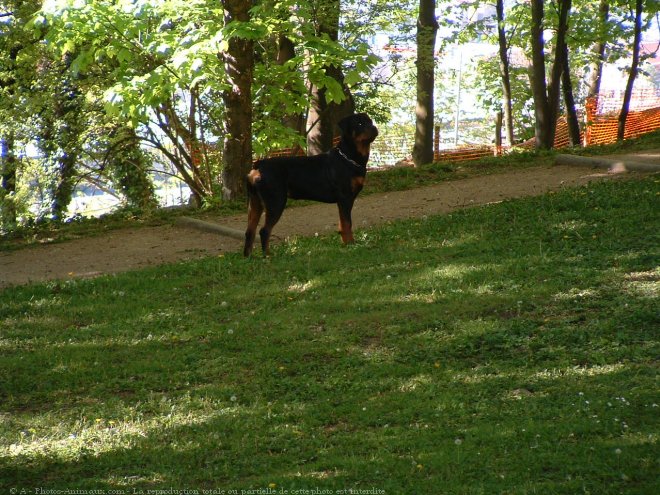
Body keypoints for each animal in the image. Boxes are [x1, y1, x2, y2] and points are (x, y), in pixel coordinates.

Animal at [244, 114, 378, 258]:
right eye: (359, 124)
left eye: (370, 122)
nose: (374, 128)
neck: (349, 157)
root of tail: (258, 166)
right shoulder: (345, 198)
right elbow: (347, 224)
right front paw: (351, 245)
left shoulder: (344, 200)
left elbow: (342, 224)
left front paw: (345, 244)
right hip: (276, 201)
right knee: (264, 231)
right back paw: (268, 256)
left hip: (255, 203)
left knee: (250, 230)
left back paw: (248, 257)